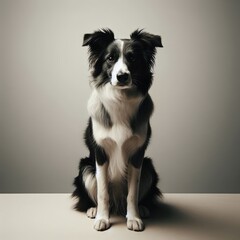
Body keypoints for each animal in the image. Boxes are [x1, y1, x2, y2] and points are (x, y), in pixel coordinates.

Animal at [73, 29, 163, 232]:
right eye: (110, 58)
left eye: (132, 58)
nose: (122, 76)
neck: (120, 99)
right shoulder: (100, 153)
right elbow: (103, 192)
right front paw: (102, 218)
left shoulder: (138, 154)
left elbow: (132, 192)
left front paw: (134, 218)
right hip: (85, 167)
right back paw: (93, 209)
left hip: (149, 167)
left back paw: (142, 208)